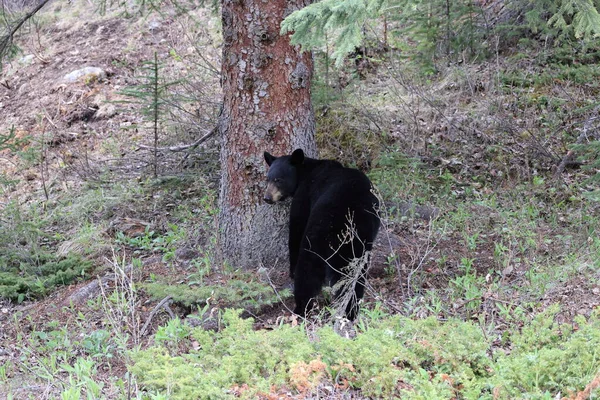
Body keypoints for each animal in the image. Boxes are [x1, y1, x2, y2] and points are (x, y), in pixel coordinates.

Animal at [264, 148, 380, 320]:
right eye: (267, 179)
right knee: (351, 278)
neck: (306, 171)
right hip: (354, 245)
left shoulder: (304, 195)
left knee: (309, 272)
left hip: (323, 238)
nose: (267, 198)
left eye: (278, 180)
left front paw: (291, 271)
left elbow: (296, 228)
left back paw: (303, 308)